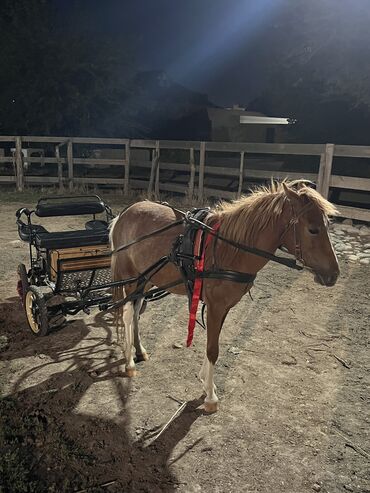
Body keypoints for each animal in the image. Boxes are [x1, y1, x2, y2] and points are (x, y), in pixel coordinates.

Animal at [109, 181, 338, 412]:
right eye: (313, 229)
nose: (334, 274)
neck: (229, 249)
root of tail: (125, 213)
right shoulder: (215, 306)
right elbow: (213, 349)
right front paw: (210, 397)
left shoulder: (223, 307)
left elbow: (214, 341)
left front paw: (205, 381)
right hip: (130, 278)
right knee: (128, 315)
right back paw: (129, 362)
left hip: (146, 279)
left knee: (136, 312)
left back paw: (139, 350)